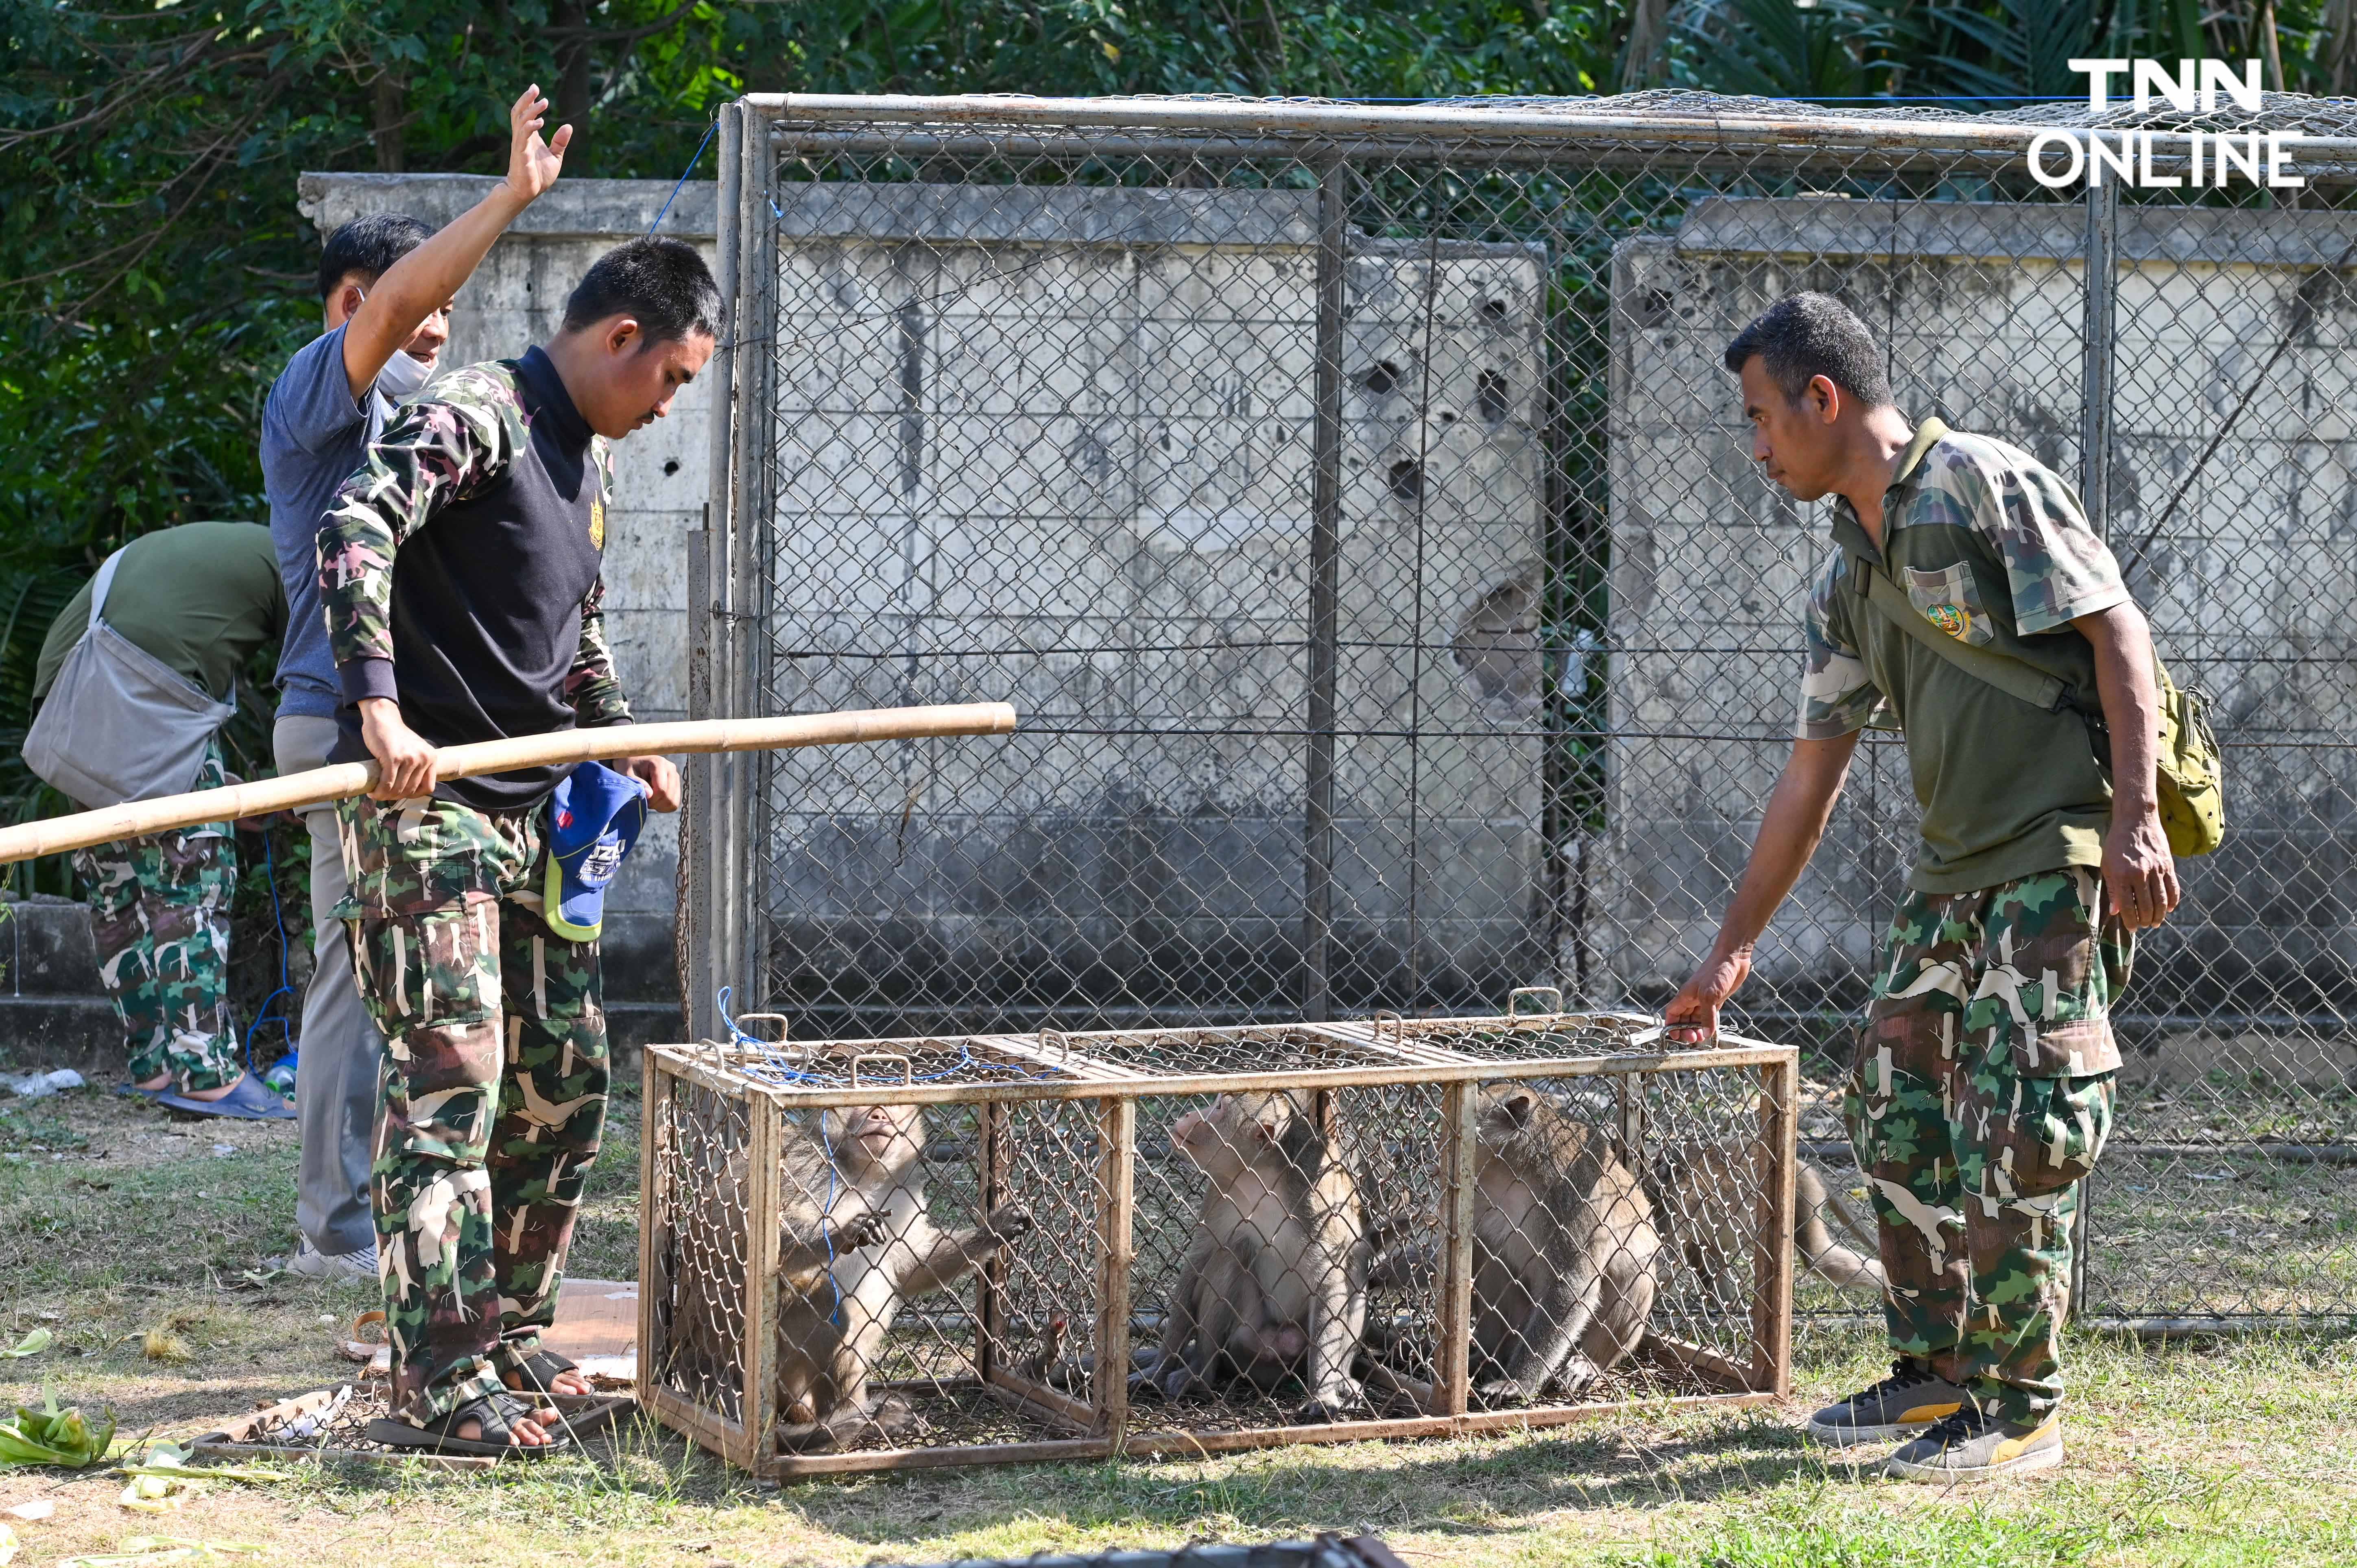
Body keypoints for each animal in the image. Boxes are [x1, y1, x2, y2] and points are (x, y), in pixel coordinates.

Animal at [773, 1099, 1032, 1443]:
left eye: (891, 1107)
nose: (879, 1114)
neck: (862, 1174)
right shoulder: (803, 1159)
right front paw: (848, 1231)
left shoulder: (901, 1191)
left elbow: (911, 1263)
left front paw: (994, 1230)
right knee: (828, 1303)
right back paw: (854, 1420)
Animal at [1131, 1089, 1376, 1415]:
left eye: (1219, 1108)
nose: (1189, 1115)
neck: (1259, 1177)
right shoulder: (1219, 1192)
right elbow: (1198, 1264)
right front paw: (1158, 1369)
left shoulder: (1313, 1200)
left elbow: (1330, 1279)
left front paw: (1322, 1394)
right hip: (1244, 1342)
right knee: (1231, 1254)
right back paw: (1200, 1373)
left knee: (1356, 1267)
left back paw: (1343, 1380)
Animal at [1461, 1084, 1650, 1396]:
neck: (1515, 1167)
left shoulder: (1569, 1196)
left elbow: (1571, 1286)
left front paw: (1519, 1381)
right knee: (1496, 1261)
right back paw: (1489, 1356)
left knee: (1633, 1275)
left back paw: (1588, 1363)